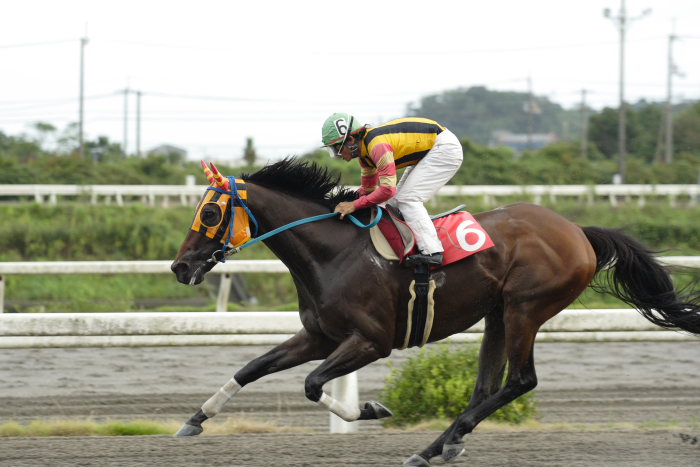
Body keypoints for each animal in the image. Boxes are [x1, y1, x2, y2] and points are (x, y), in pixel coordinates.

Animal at [171, 159, 700, 466]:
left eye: (210, 214)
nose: (179, 267)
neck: (332, 254)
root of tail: (577, 231)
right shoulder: (320, 337)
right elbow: (251, 367)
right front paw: (194, 420)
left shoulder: (370, 341)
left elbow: (312, 384)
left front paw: (371, 409)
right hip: (497, 313)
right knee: (487, 386)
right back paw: (437, 447)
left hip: (526, 307)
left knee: (520, 381)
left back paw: (440, 444)